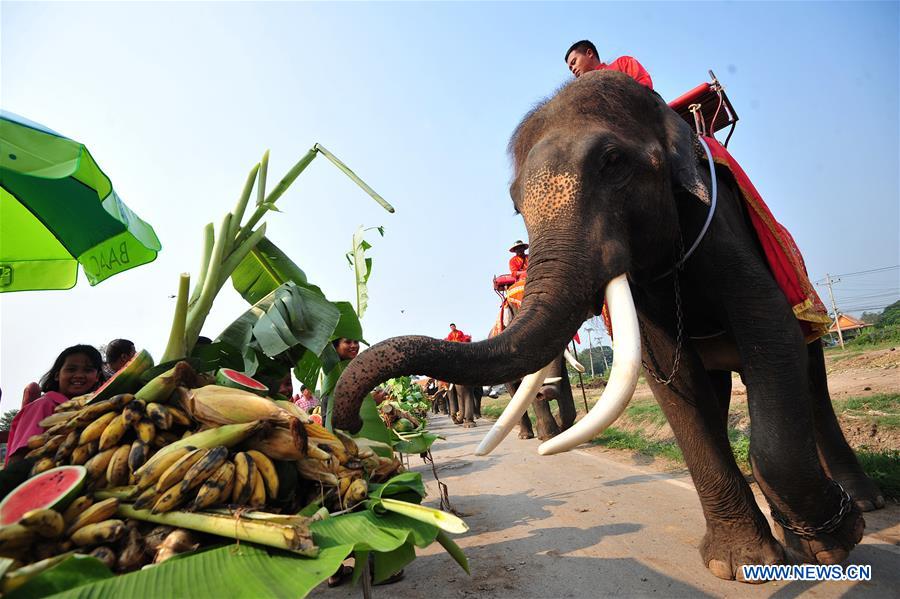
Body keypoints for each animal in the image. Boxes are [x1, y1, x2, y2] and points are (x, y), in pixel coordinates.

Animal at [334, 69, 884, 580]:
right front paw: (738, 564)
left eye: (613, 162)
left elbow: (769, 330)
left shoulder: (717, 218)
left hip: (802, 283)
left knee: (808, 369)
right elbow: (672, 381)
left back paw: (862, 505)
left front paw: (832, 542)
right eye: (515, 202)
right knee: (714, 388)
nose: (349, 428)